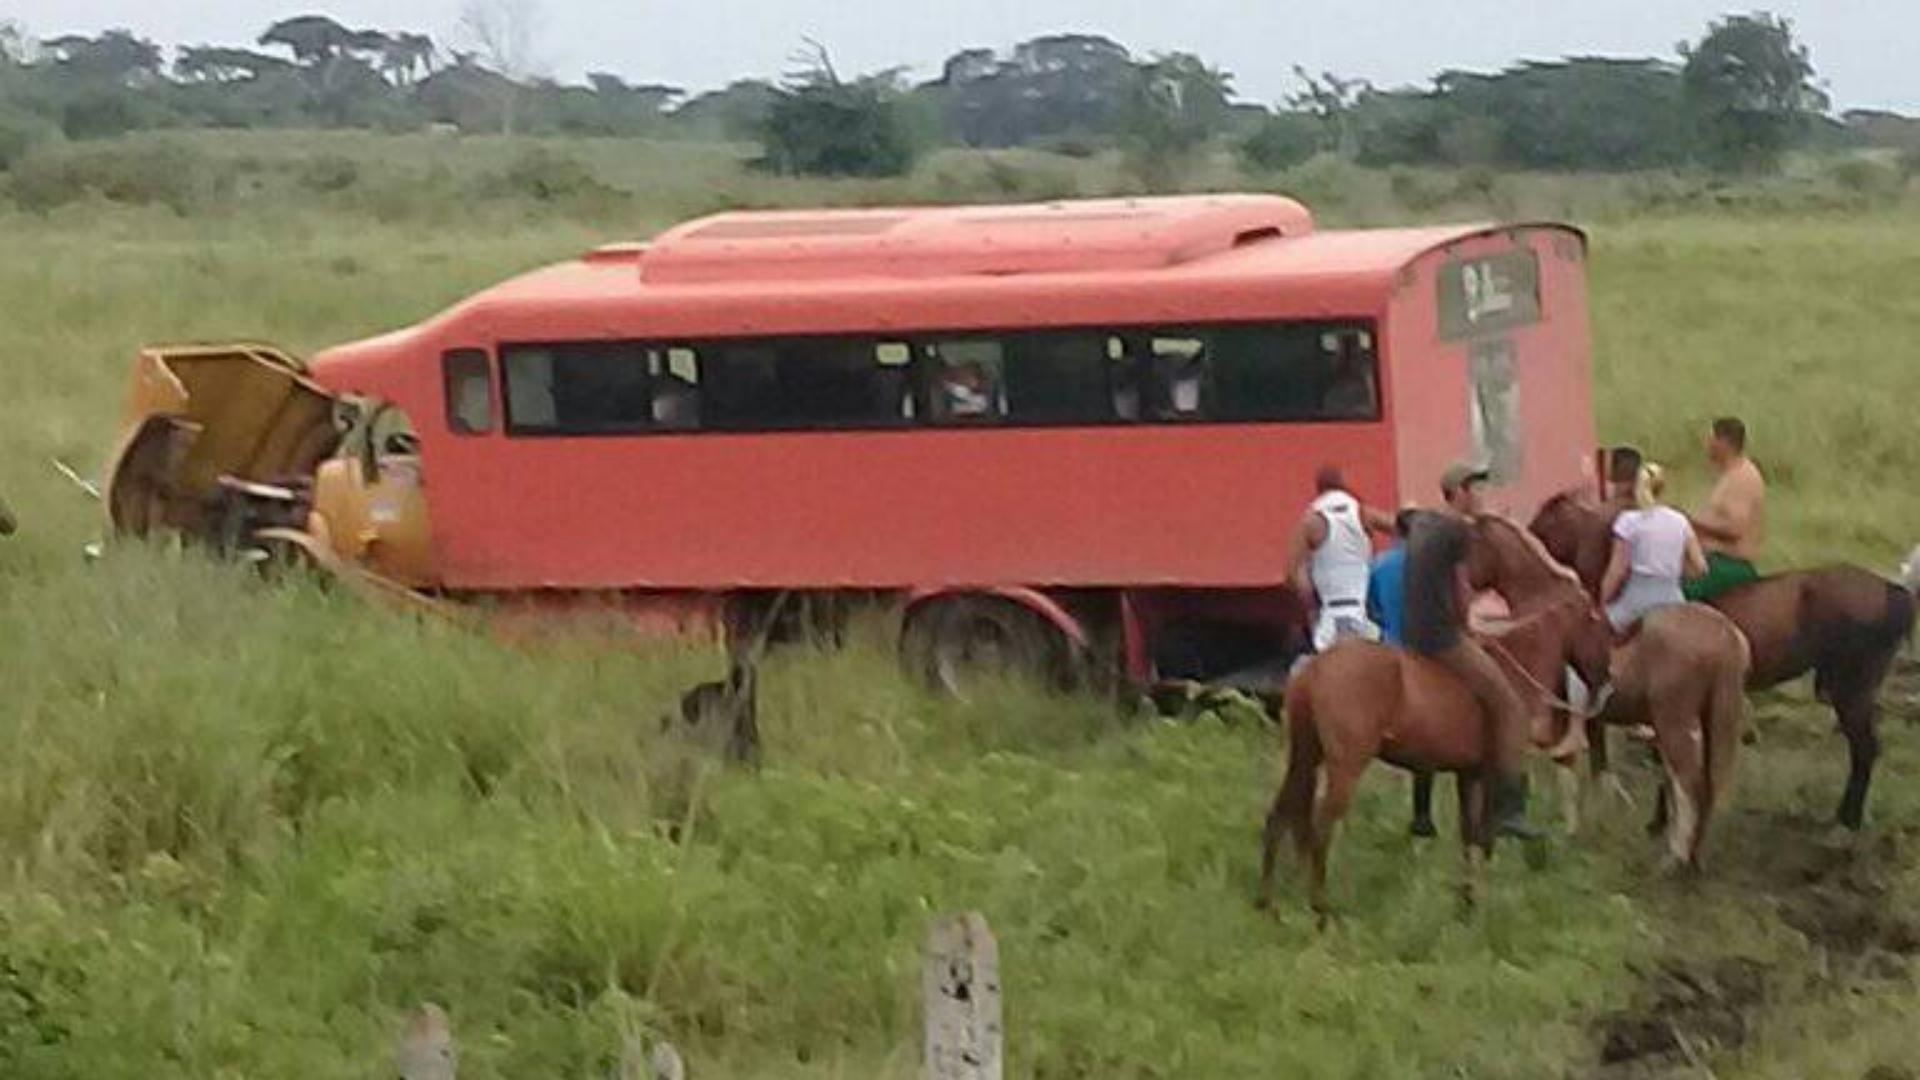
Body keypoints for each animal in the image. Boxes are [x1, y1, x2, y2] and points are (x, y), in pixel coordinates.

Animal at [1251, 511, 1612, 907]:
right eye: (1596, 621)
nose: (1606, 680)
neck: (1519, 655)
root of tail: (1316, 669)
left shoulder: (1468, 774)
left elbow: (1470, 839)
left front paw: (1469, 902)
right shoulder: (1491, 771)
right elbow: (1485, 836)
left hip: (1306, 754)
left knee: (1282, 816)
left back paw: (1269, 902)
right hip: (1345, 765)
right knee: (1319, 829)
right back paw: (1320, 909)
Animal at [1520, 491, 1912, 826]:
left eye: (1547, 520)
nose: (1525, 538)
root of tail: (1892, 591)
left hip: (1850, 691)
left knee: (1865, 749)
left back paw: (1847, 821)